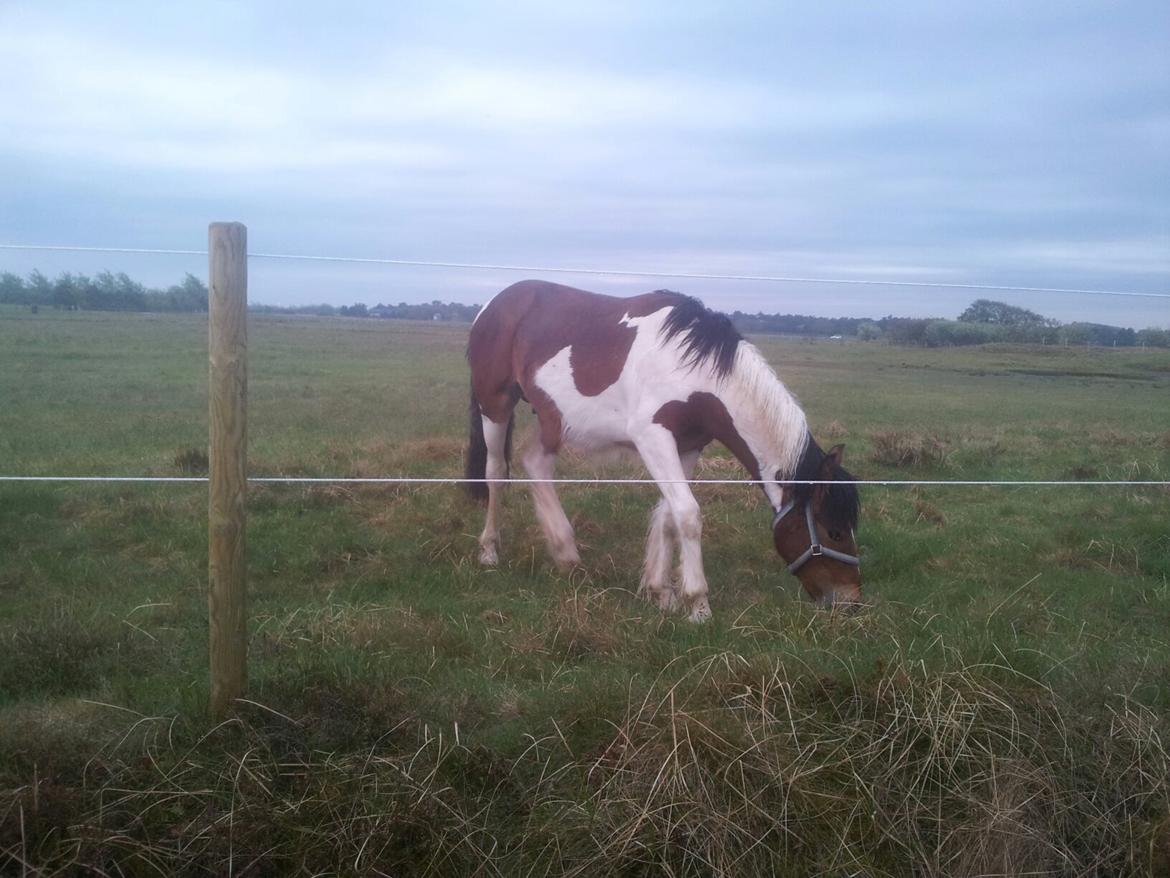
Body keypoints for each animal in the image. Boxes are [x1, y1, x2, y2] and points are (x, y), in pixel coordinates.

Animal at [463, 278, 861, 622]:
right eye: (834, 533)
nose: (850, 602)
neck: (695, 370)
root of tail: (494, 305)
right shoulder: (653, 438)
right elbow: (688, 514)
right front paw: (697, 605)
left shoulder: (688, 446)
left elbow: (670, 516)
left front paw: (662, 593)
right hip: (495, 406)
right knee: (496, 473)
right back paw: (489, 552)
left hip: (552, 419)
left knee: (536, 464)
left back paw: (566, 554)